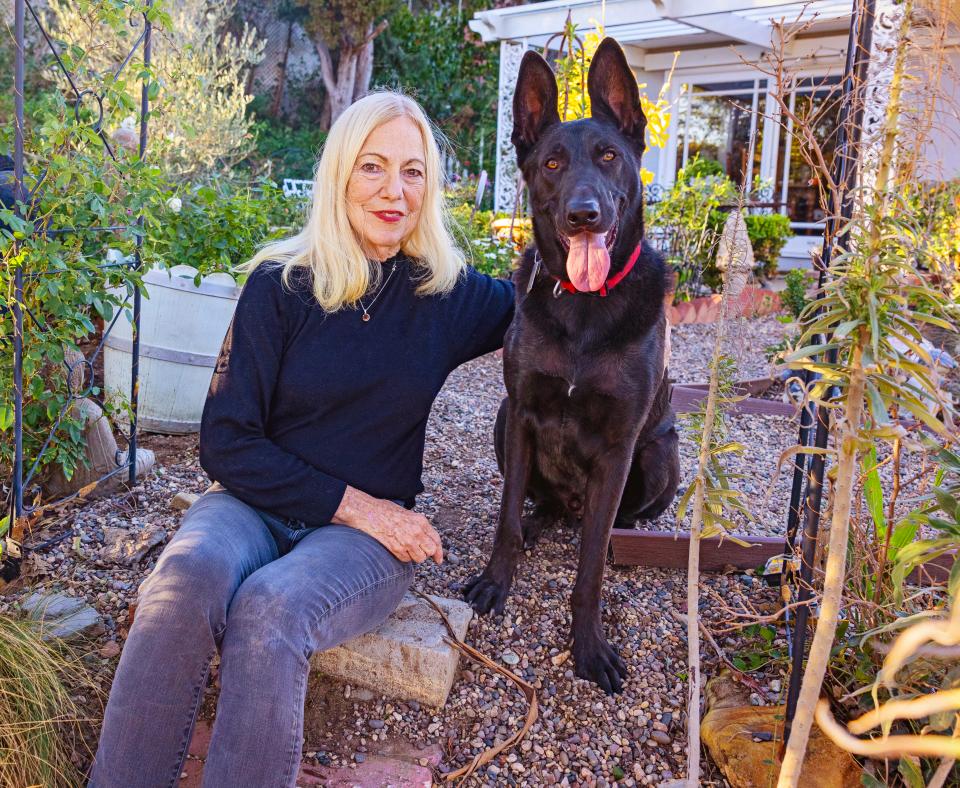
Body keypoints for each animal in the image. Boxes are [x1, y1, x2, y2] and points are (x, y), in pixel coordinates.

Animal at [464, 38, 684, 688]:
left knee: (612, 521)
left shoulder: (618, 445)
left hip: (660, 455)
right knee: (539, 504)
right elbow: (506, 519)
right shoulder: (521, 413)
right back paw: (542, 520)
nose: (583, 214)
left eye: (610, 157)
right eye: (553, 164)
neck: (585, 310)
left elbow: (588, 572)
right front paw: (496, 581)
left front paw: (588, 644)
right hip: (501, 423)